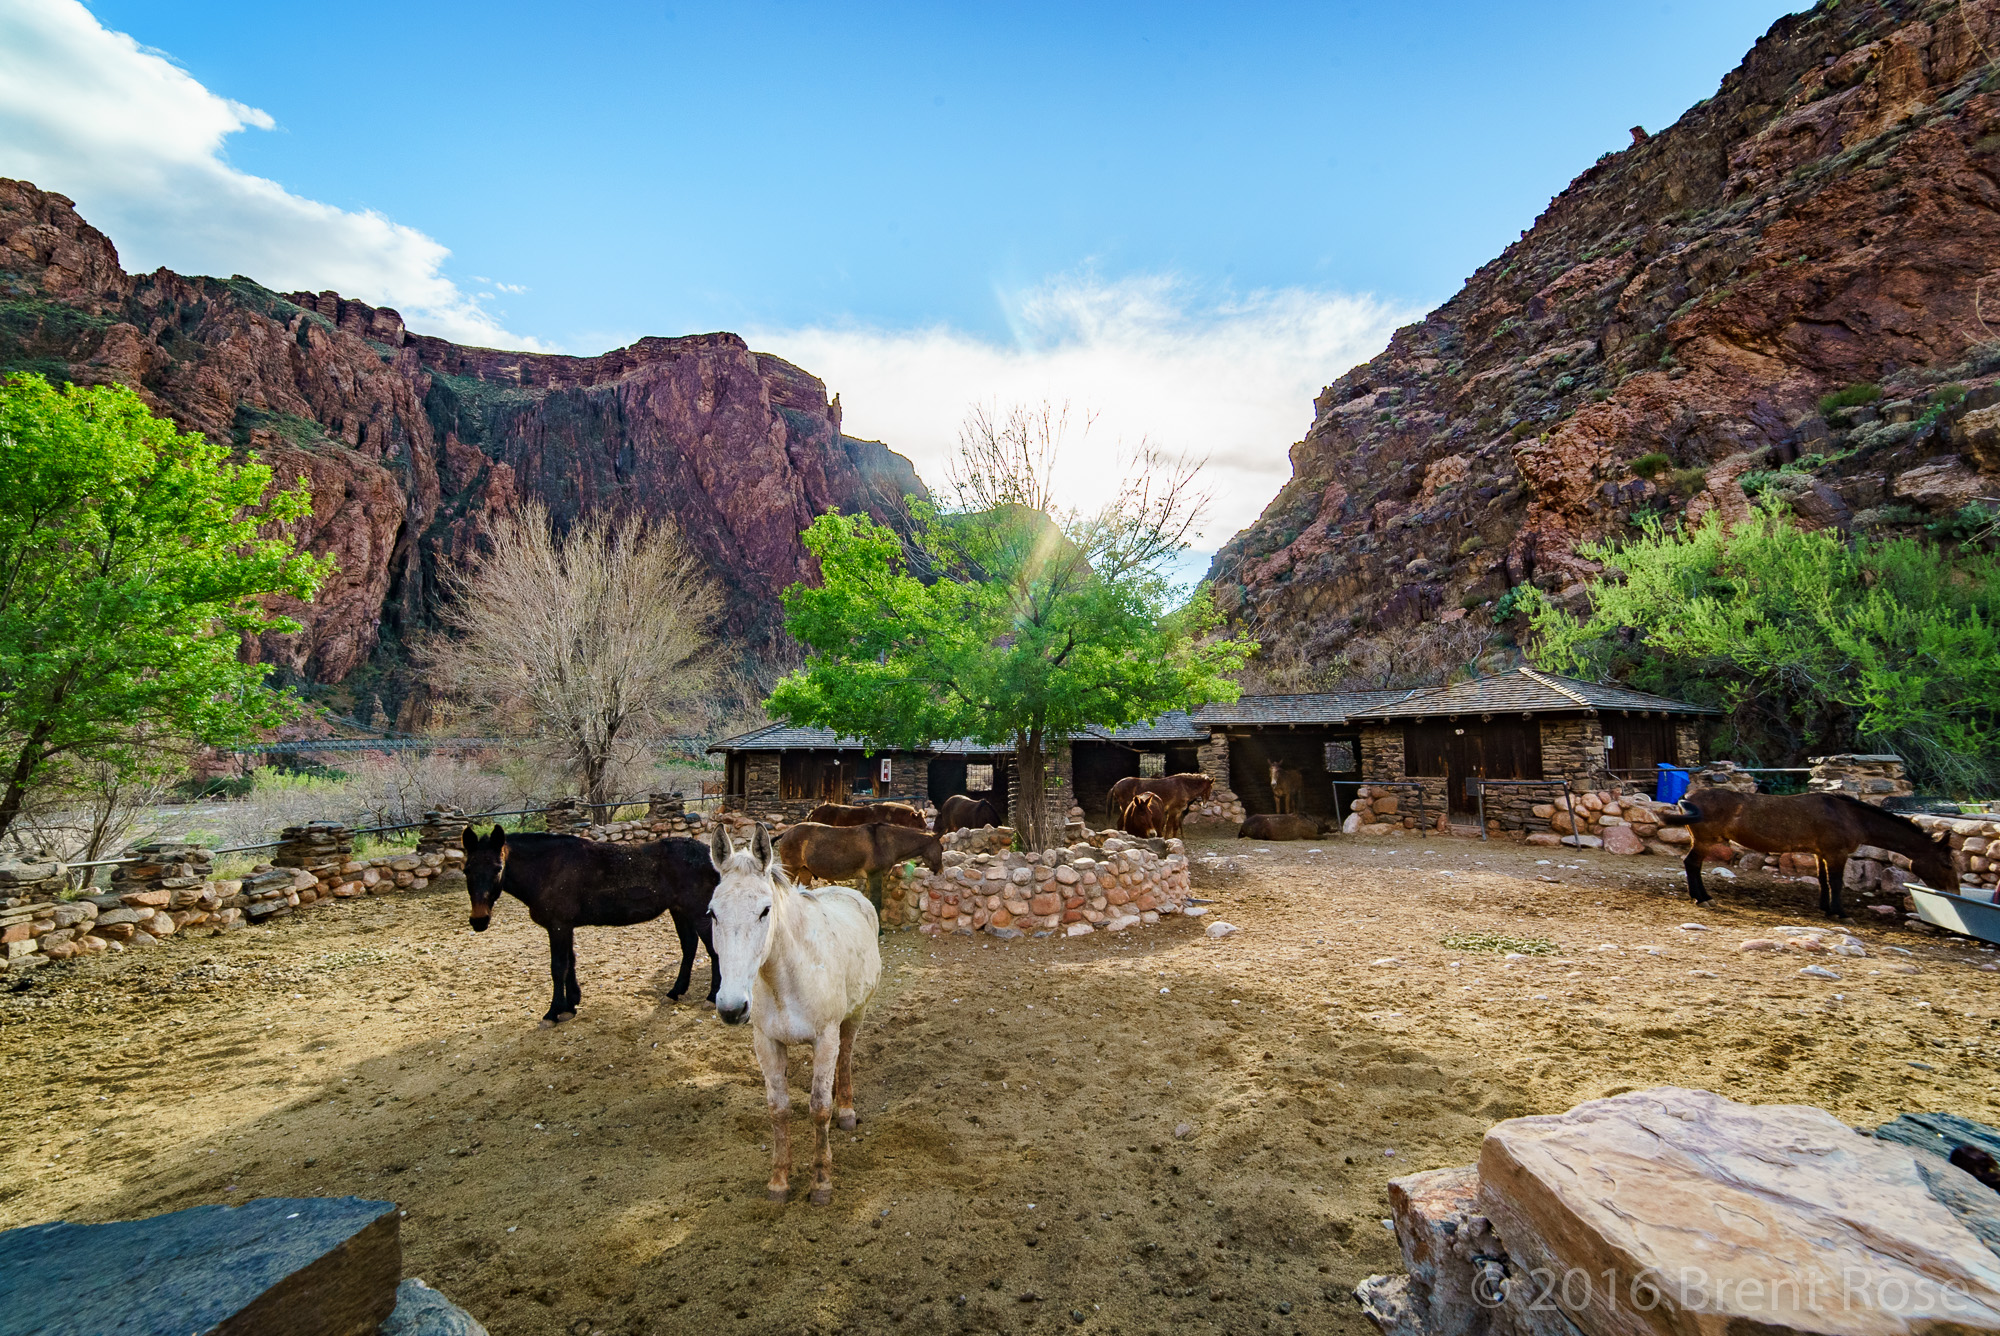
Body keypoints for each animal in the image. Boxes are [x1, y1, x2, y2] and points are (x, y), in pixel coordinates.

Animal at [1656, 792, 1952, 920]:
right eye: (1948, 862)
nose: (1952, 892)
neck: (1851, 816)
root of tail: (1688, 796)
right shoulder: (1836, 853)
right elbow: (1836, 882)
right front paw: (1839, 912)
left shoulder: (1821, 853)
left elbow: (1822, 880)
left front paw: (1825, 907)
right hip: (1705, 840)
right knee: (1692, 864)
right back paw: (1702, 898)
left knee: (1692, 865)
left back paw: (1701, 896)